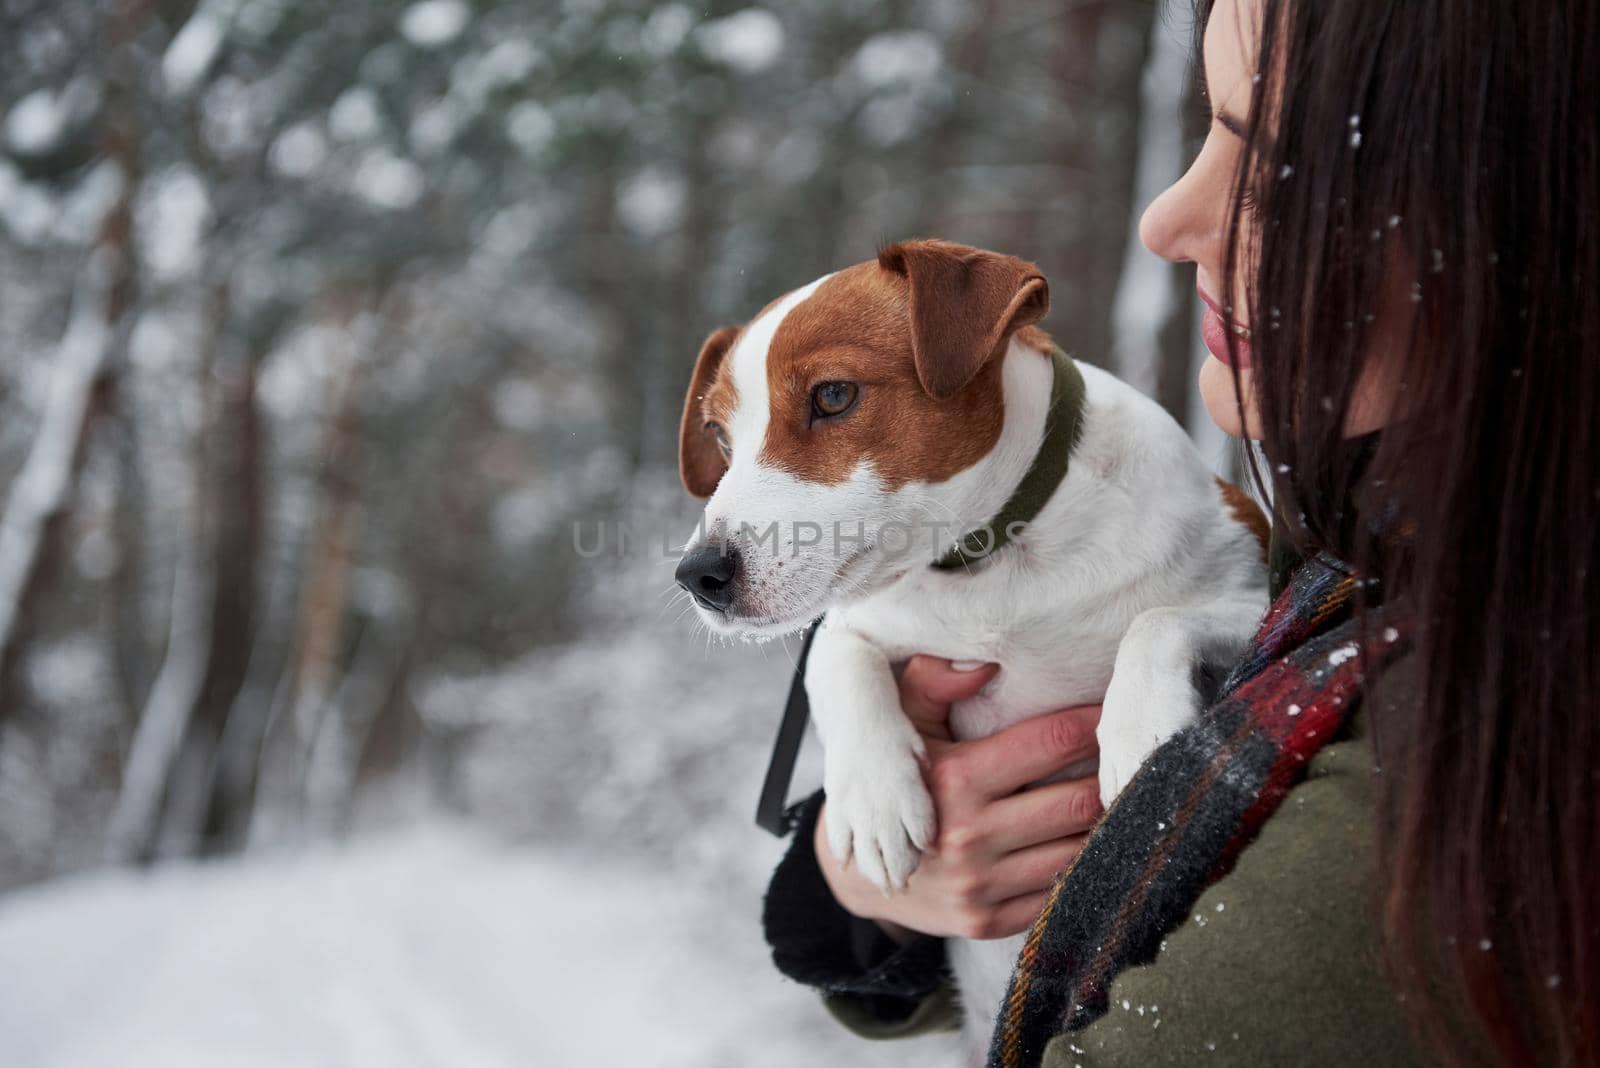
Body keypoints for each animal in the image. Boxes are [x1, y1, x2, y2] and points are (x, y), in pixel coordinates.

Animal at [668, 238, 1267, 1048]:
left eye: (833, 396)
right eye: (721, 439)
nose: (698, 575)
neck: (991, 560)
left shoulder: (1250, 584)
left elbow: (1157, 620)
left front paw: (1142, 737)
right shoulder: (860, 622)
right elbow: (833, 658)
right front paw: (873, 797)